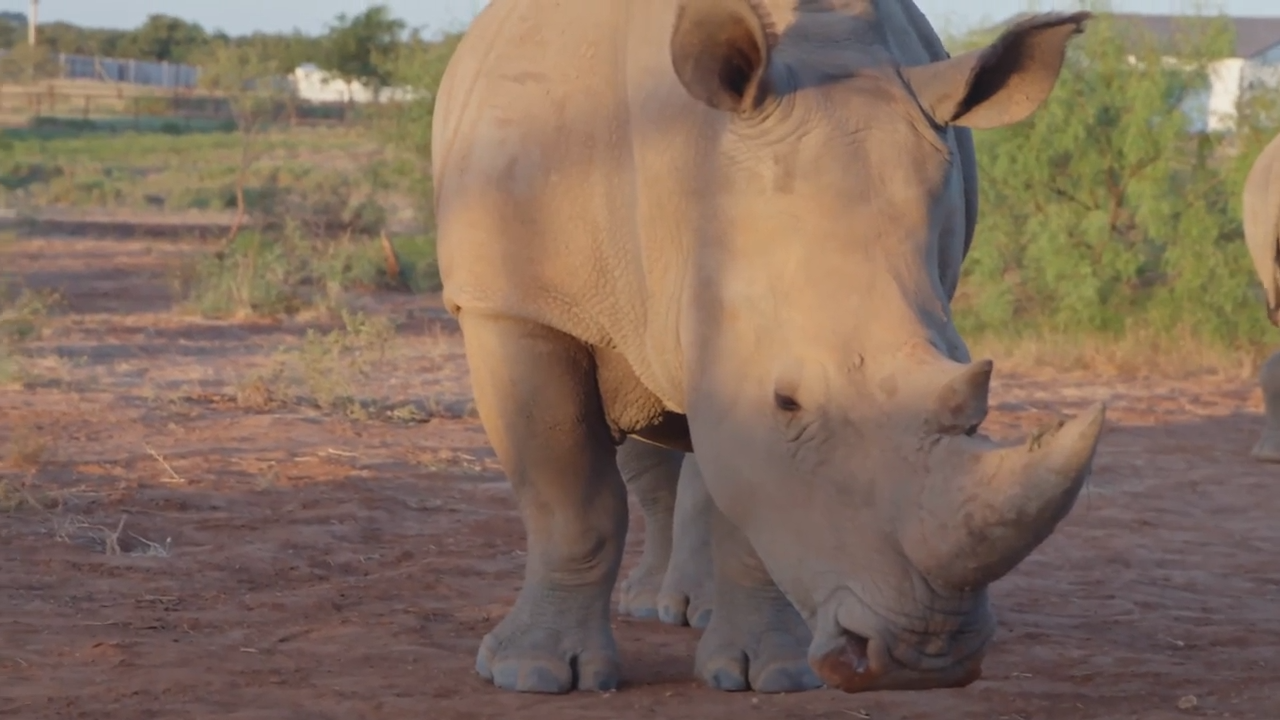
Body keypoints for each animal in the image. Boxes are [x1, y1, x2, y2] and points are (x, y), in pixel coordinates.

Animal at [431, 0, 1106, 695]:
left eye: (978, 401)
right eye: (788, 401)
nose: (926, 658)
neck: (685, 158)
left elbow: (751, 500)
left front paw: (770, 675)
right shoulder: (515, 303)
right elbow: (569, 499)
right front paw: (532, 674)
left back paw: (692, 611)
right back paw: (644, 609)